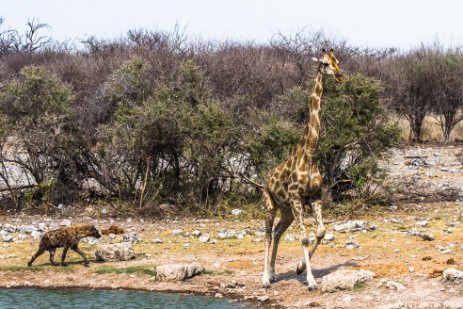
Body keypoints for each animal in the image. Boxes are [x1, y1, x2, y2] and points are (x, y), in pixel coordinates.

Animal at [260, 48, 344, 288]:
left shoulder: (314, 197)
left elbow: (321, 231)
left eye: (337, 61)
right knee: (267, 234)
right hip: (270, 204)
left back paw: (273, 273)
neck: (310, 154)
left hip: (287, 211)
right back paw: (264, 279)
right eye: (324, 63)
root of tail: (266, 179)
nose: (339, 75)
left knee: (277, 232)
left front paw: (299, 267)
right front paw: (311, 280)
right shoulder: (298, 198)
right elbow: (304, 237)